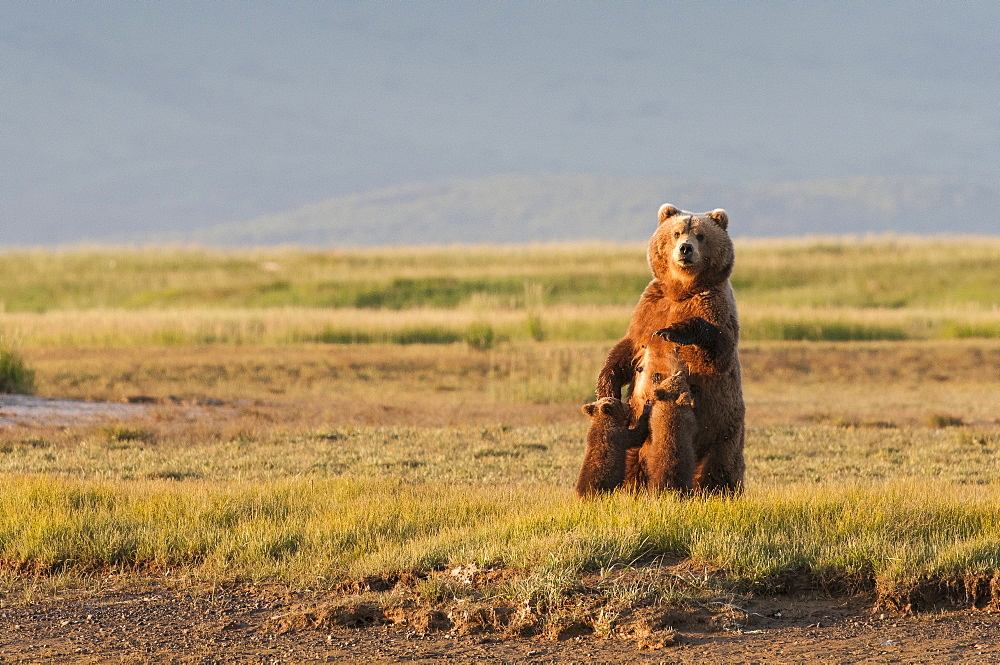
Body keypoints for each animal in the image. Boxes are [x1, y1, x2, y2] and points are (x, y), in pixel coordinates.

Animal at [592, 202, 744, 492]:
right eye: (676, 233)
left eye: (700, 235)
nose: (685, 249)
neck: (681, 290)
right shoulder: (650, 308)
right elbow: (626, 350)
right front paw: (605, 387)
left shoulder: (714, 305)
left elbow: (718, 350)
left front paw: (673, 331)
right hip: (637, 428)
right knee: (632, 459)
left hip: (723, 426)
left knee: (719, 464)